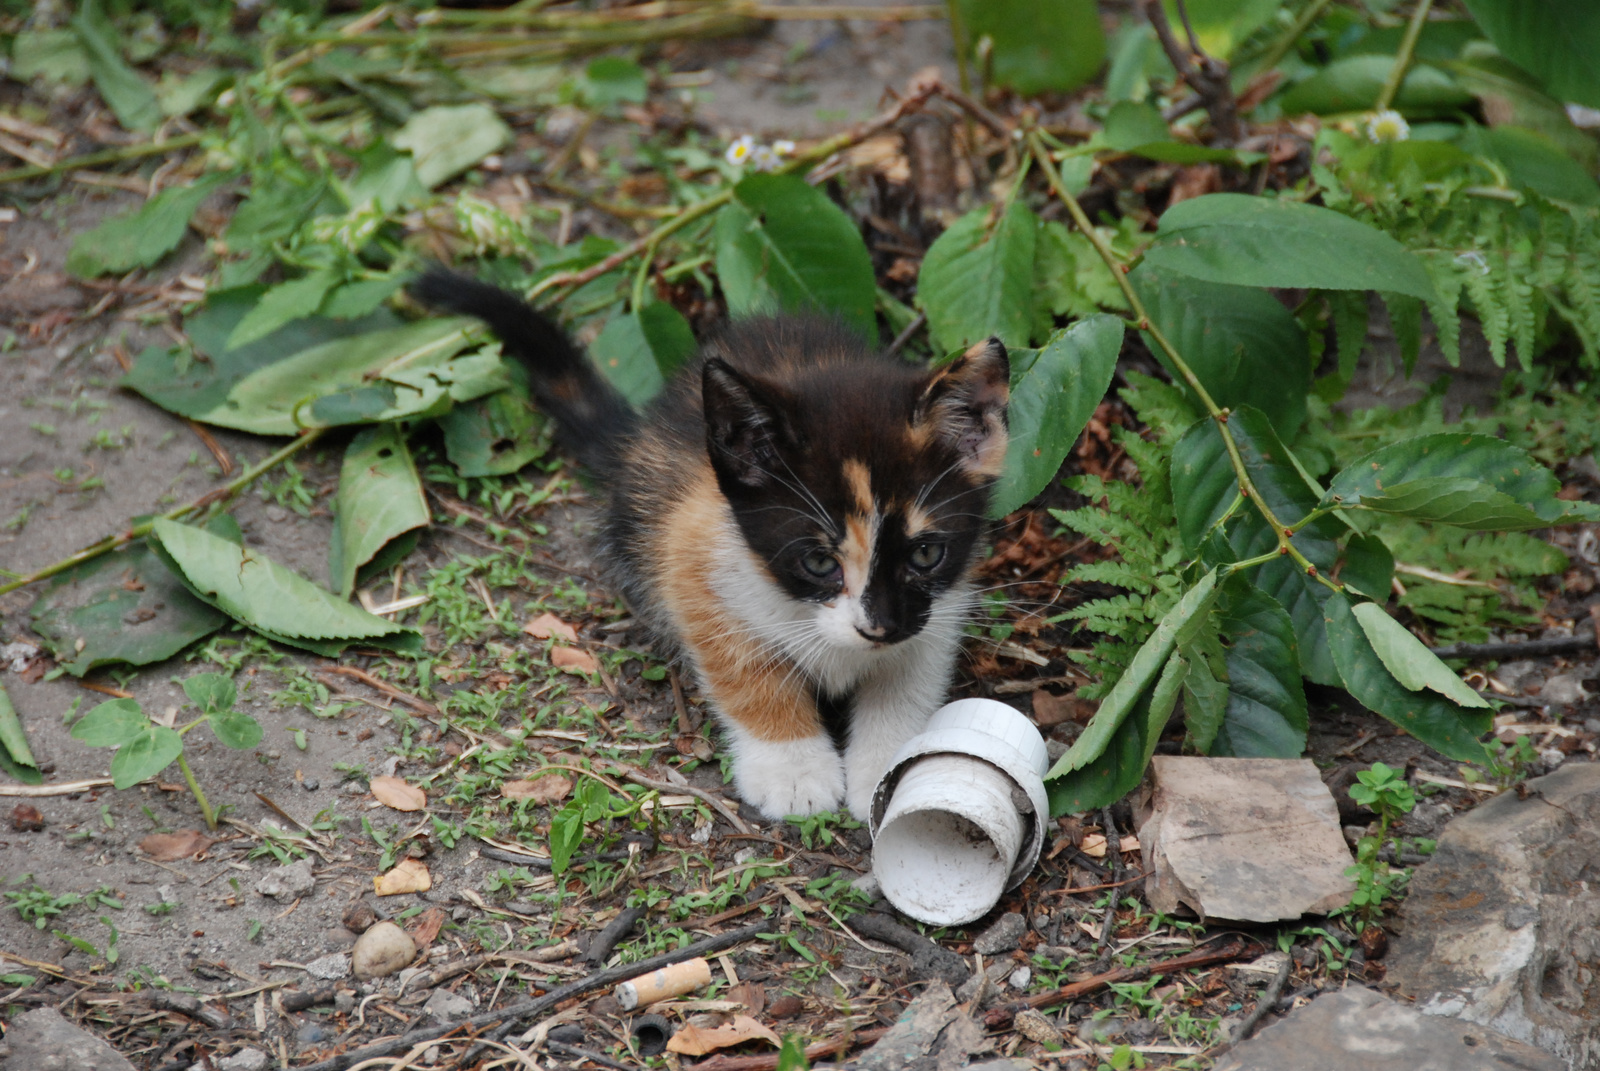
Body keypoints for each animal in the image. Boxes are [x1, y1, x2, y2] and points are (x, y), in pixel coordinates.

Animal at [412, 268, 1011, 819]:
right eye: (819, 562)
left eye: (926, 553)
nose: (879, 627)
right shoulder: (691, 545)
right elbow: (741, 667)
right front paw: (793, 770)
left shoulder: (942, 604)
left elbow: (909, 678)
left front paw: (890, 768)